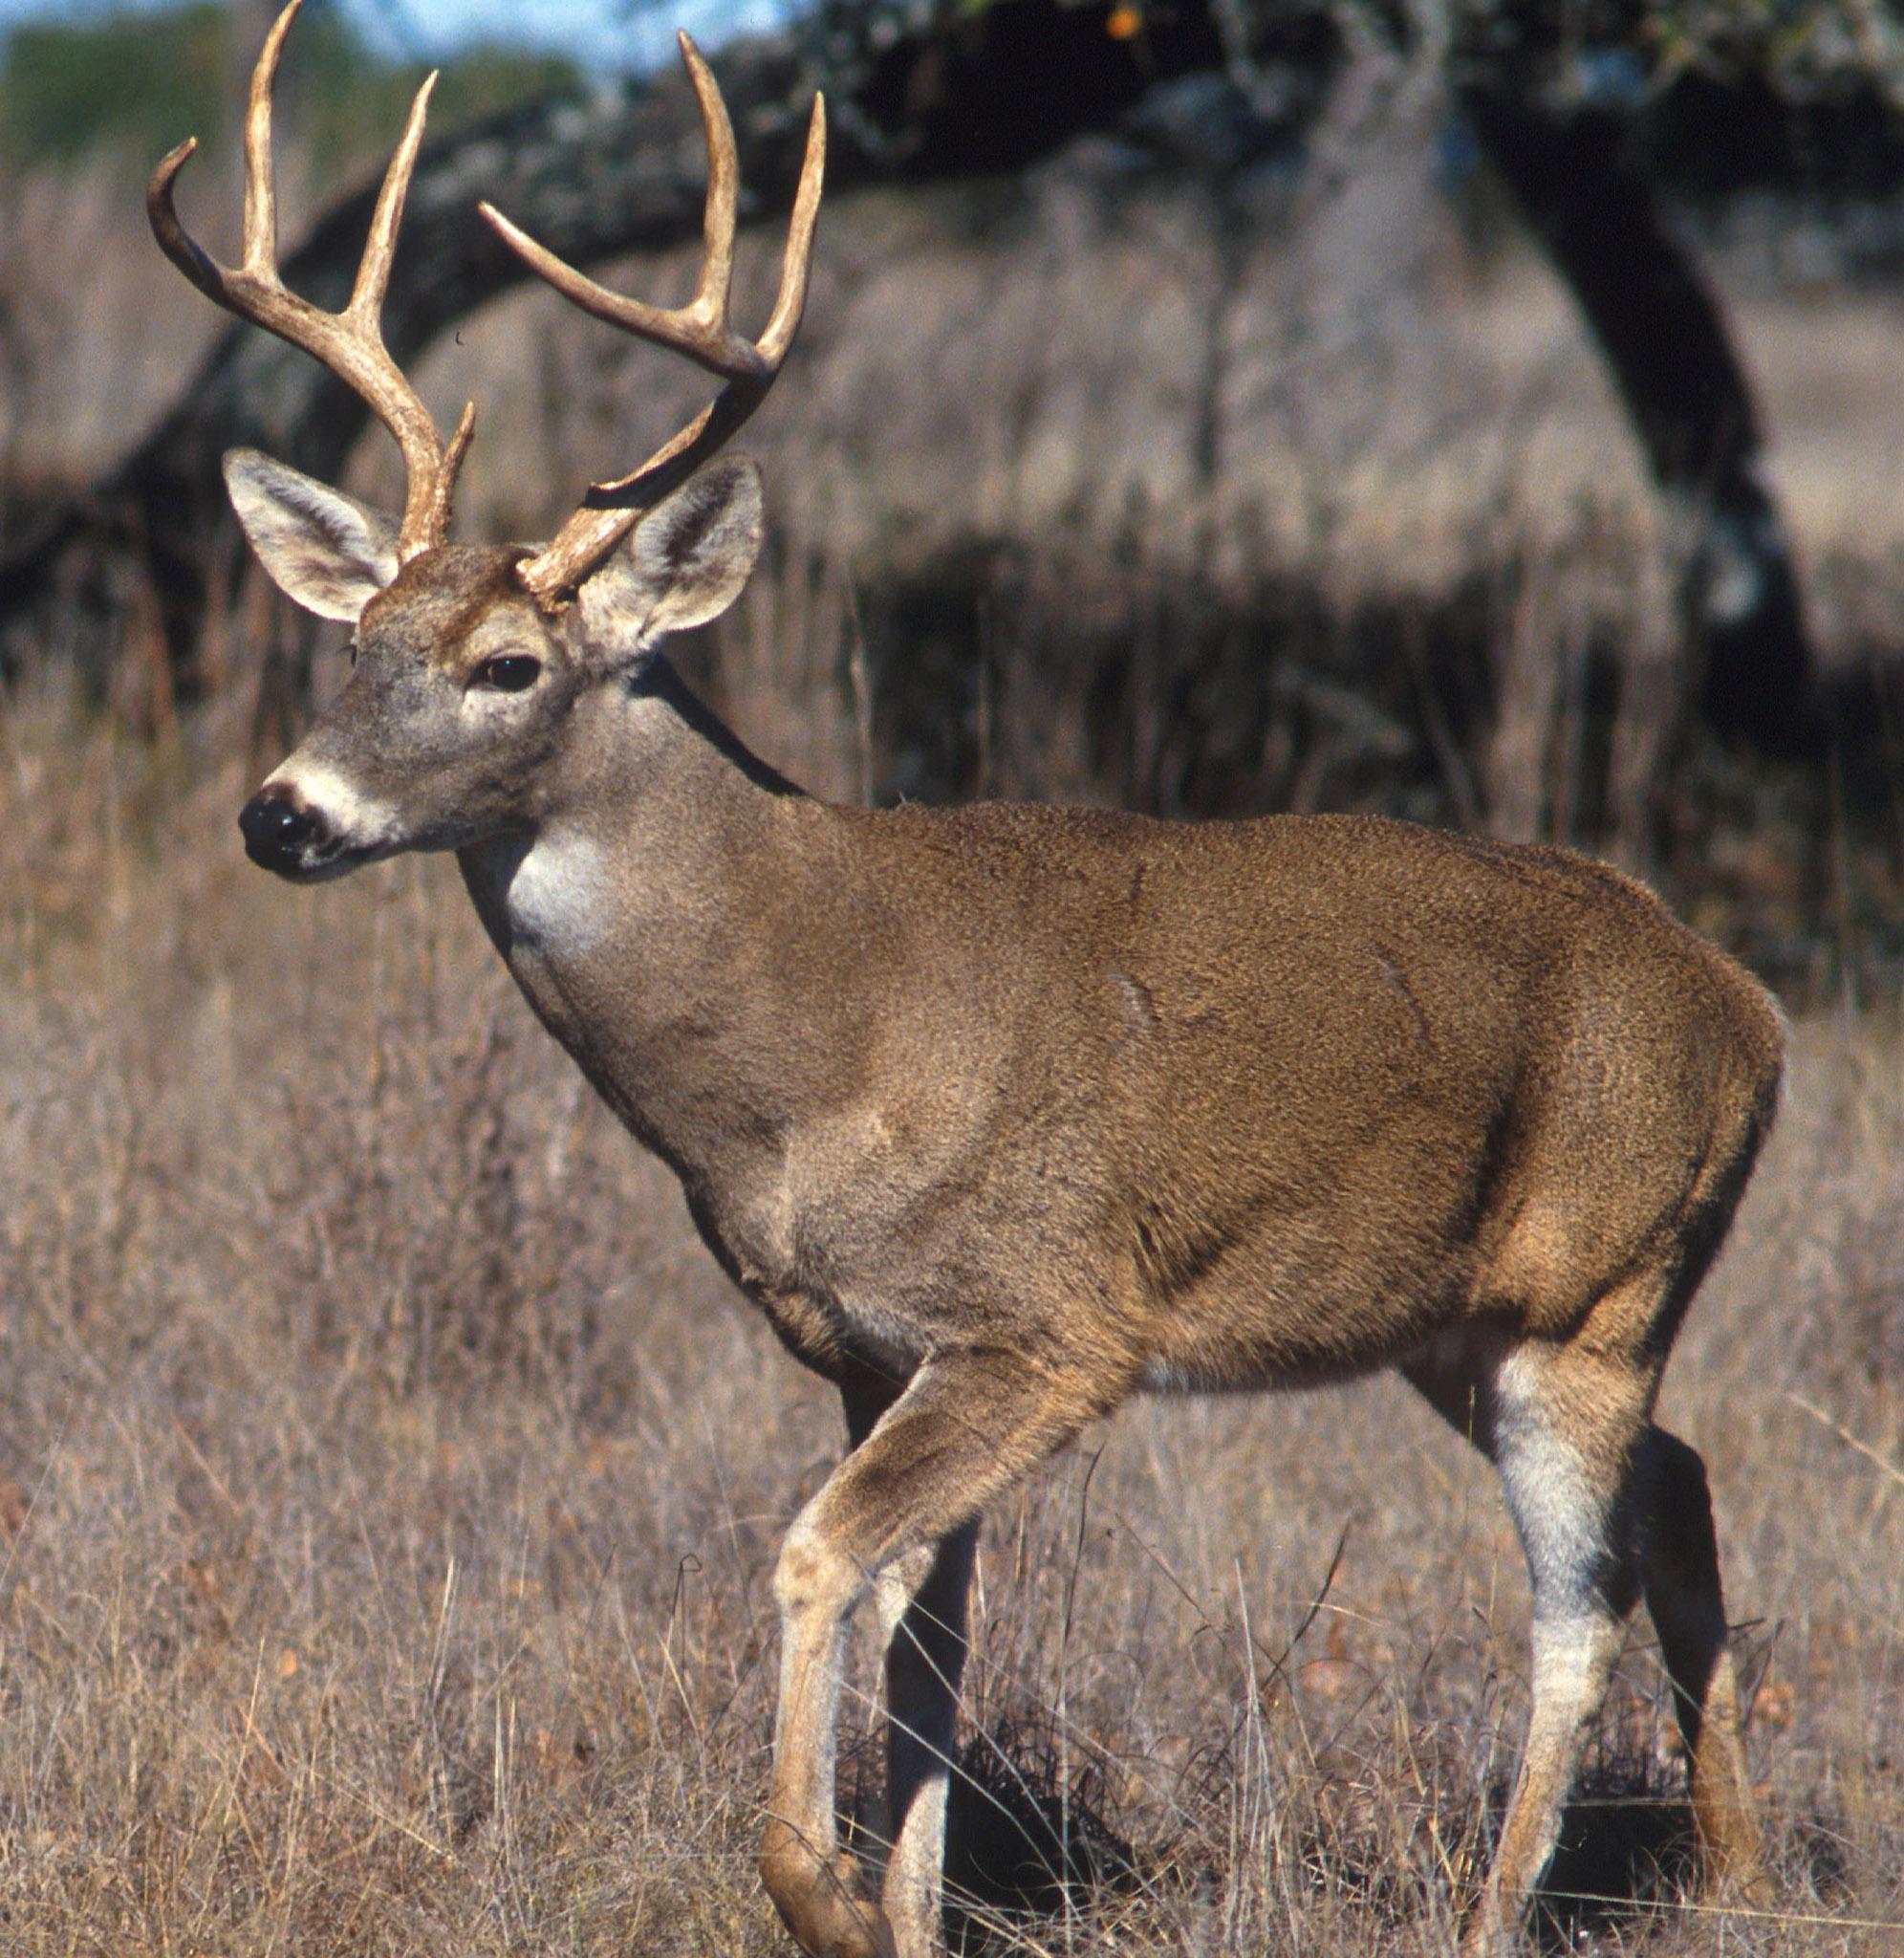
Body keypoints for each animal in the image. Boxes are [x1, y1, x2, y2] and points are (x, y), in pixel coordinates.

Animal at [148, 8, 1785, 1949]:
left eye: (505, 665)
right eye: (354, 642)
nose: (282, 812)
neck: (809, 1046)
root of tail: (1752, 1010)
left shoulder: (1045, 1322)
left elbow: (814, 1561)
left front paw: (824, 1894)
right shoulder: (869, 1348)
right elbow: (926, 1650)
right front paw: (907, 1907)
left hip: (1596, 1291)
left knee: (1574, 1609)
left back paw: (1497, 1910)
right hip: (1460, 1323)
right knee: (1680, 1491)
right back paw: (1741, 1869)